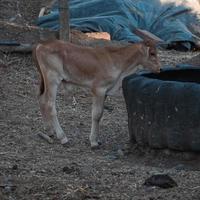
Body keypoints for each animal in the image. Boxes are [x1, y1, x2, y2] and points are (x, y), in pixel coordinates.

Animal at [33, 39, 161, 148]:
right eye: (152, 53)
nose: (159, 68)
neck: (118, 62)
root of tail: (41, 45)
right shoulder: (99, 89)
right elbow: (97, 114)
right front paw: (93, 141)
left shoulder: (105, 92)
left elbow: (101, 113)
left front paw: (97, 139)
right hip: (52, 79)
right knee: (49, 104)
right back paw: (63, 137)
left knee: (41, 99)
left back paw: (49, 131)